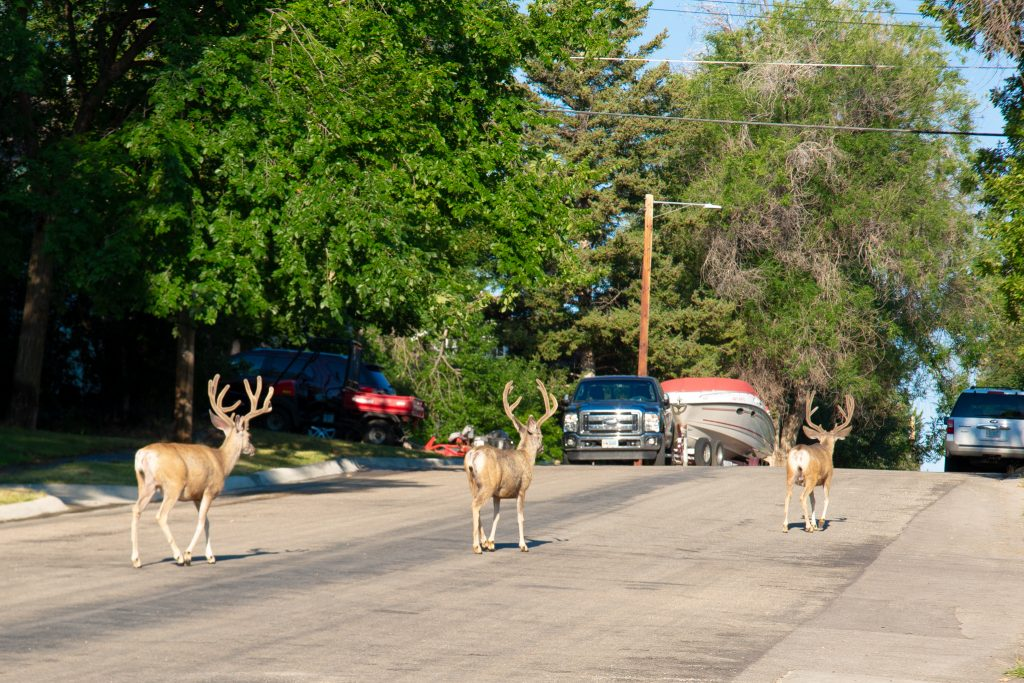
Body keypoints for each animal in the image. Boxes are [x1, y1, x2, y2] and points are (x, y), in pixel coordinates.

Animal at [131, 374, 272, 565]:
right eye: (249, 436)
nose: (253, 449)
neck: (222, 462)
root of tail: (143, 454)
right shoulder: (210, 490)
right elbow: (201, 521)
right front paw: (189, 554)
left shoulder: (196, 494)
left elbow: (207, 522)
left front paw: (210, 556)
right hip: (173, 484)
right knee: (161, 515)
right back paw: (178, 556)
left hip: (146, 483)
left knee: (136, 509)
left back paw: (136, 559)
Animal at [466, 378, 557, 557]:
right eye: (541, 435)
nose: (542, 448)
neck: (527, 457)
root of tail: (473, 454)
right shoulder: (522, 488)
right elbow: (520, 516)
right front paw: (523, 545)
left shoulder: (498, 495)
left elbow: (496, 516)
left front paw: (491, 542)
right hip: (487, 484)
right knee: (475, 505)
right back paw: (476, 547)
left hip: (473, 483)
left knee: (476, 506)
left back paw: (483, 542)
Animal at [782, 389, 856, 532]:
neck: (826, 449)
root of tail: (799, 451)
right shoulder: (828, 477)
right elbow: (826, 499)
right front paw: (820, 522)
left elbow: (813, 500)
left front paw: (815, 524)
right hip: (810, 476)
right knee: (802, 497)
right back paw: (807, 527)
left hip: (791, 474)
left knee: (788, 496)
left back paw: (785, 526)